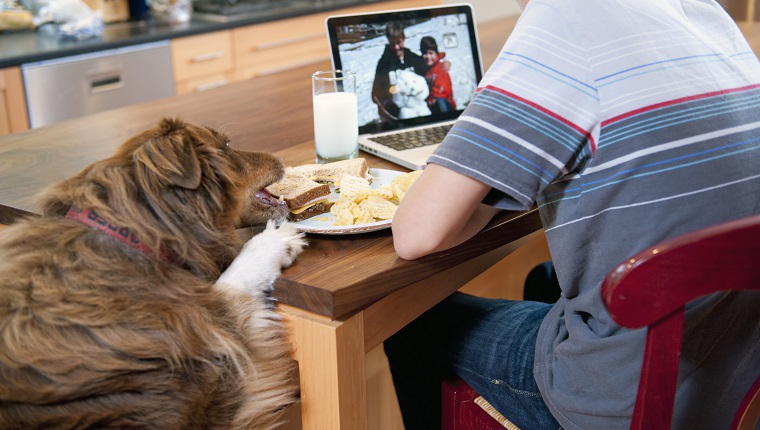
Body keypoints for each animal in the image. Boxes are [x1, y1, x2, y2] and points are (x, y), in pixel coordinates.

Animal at [2, 118, 308, 430]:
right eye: (226, 145)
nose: (281, 158)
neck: (134, 234)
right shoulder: (216, 371)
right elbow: (230, 290)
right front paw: (272, 243)